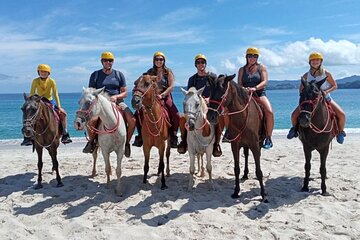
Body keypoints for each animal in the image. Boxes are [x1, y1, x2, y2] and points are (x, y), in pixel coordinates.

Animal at [205, 73, 268, 201]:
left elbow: (259, 171)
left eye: (222, 93)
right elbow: (236, 169)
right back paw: (245, 174)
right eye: (211, 91)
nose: (210, 116)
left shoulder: (255, 145)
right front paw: (236, 191)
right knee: (246, 155)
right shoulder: (235, 145)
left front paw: (263, 195)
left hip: (258, 143)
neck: (242, 118)